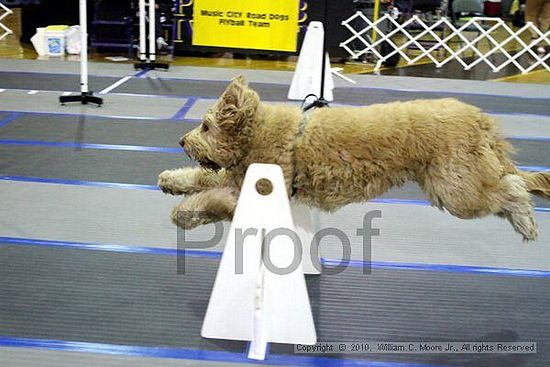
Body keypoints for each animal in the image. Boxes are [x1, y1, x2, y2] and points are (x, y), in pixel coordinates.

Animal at [158, 76, 550, 240]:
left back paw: (525, 221)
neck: (261, 131)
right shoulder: (236, 176)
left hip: (455, 188)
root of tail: (479, 118)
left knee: (511, 189)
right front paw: (172, 179)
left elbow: (210, 198)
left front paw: (184, 212)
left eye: (206, 125)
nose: (181, 140)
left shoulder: (258, 191)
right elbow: (205, 178)